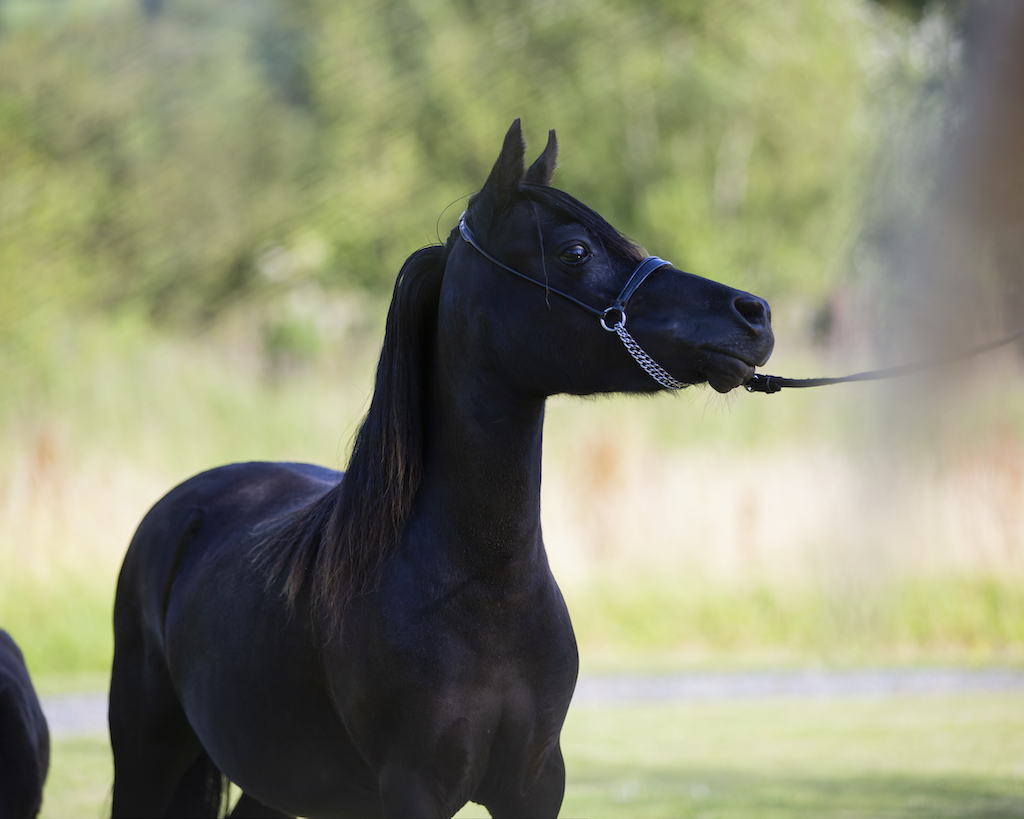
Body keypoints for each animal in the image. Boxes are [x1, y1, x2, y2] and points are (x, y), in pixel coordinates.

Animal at [108, 119, 774, 818]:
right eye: (575, 252)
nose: (753, 314)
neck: (485, 591)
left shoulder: (537, 786)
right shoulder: (414, 788)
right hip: (146, 755)